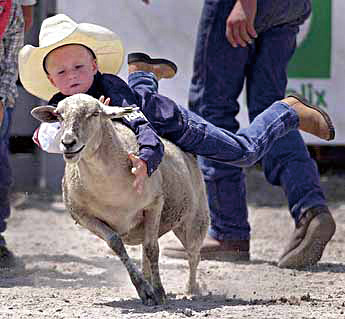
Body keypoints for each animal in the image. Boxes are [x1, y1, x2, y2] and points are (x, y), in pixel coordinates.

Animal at [32, 94, 208, 306]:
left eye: (95, 114)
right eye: (59, 115)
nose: (68, 143)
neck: (110, 189)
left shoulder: (154, 204)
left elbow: (153, 249)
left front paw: (159, 291)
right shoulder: (84, 217)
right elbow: (117, 244)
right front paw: (145, 290)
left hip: (194, 221)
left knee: (193, 255)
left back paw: (192, 289)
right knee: (146, 252)